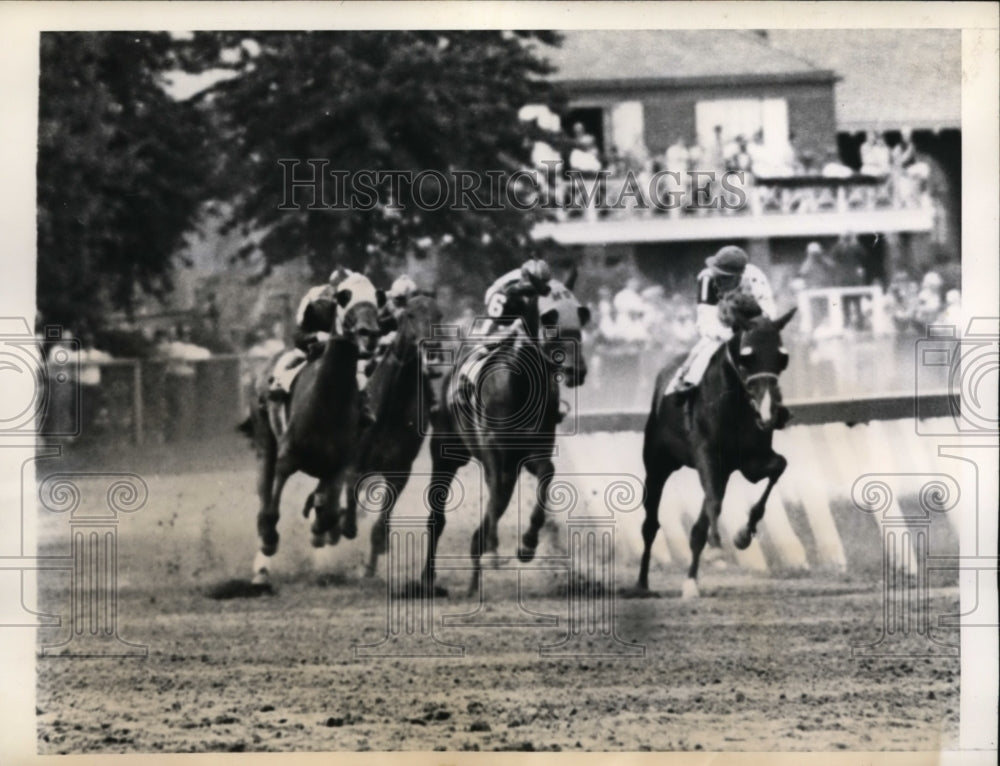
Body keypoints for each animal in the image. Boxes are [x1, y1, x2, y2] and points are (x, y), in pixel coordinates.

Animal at [252, 280, 384, 584]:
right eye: (344, 299)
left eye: (375, 302)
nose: (369, 334)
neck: (326, 404)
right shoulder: (287, 455)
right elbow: (273, 504)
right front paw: (269, 538)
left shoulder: (339, 464)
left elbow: (329, 509)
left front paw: (319, 527)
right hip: (266, 440)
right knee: (265, 487)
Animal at [418, 282, 588, 600]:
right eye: (549, 318)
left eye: (581, 317)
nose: (577, 370)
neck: (520, 386)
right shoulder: (494, 454)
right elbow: (495, 496)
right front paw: (492, 551)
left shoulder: (530, 455)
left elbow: (546, 475)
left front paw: (527, 543)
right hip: (446, 454)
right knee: (438, 517)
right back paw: (429, 578)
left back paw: (475, 580)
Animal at [640, 294, 796, 600]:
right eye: (747, 357)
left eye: (782, 358)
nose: (770, 413)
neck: (736, 407)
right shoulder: (707, 455)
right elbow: (713, 501)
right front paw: (716, 548)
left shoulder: (751, 461)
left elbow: (779, 467)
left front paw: (743, 534)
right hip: (657, 464)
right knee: (650, 524)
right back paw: (642, 583)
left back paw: (691, 579)